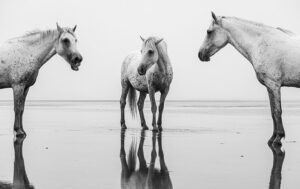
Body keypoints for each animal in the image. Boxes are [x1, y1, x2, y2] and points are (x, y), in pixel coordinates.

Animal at [198, 12, 300, 145]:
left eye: (209, 32)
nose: (200, 54)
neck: (262, 43)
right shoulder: (270, 87)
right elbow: (272, 112)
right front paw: (273, 137)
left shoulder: (274, 85)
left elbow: (277, 111)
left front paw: (278, 138)